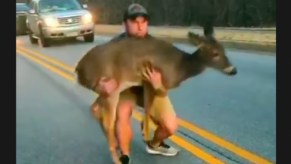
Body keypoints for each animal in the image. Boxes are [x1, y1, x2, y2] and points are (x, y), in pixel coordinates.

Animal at [74, 24, 237, 164]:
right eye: (215, 53)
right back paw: (116, 157)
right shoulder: (155, 81)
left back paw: (118, 146)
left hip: (107, 91)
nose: (233, 70)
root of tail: (79, 70)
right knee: (107, 121)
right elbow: (148, 114)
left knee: (95, 109)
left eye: (224, 50)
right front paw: (146, 137)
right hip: (111, 88)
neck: (180, 67)